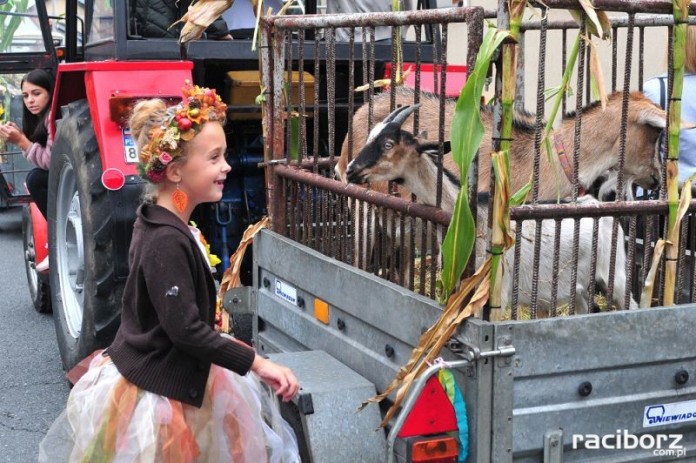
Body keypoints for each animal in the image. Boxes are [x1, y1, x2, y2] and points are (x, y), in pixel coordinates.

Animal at [346, 105, 640, 316]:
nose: (350, 170)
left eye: (388, 145)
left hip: (616, 275)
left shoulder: (495, 293)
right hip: (577, 289)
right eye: (370, 136)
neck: (473, 217)